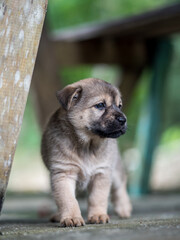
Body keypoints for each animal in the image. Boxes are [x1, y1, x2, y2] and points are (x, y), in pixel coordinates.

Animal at [41, 78, 132, 227]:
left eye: (120, 106)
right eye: (100, 105)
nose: (123, 120)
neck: (87, 146)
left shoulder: (102, 173)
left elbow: (98, 198)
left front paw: (98, 215)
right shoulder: (63, 174)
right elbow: (67, 200)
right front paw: (71, 217)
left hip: (115, 171)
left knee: (120, 187)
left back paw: (124, 208)